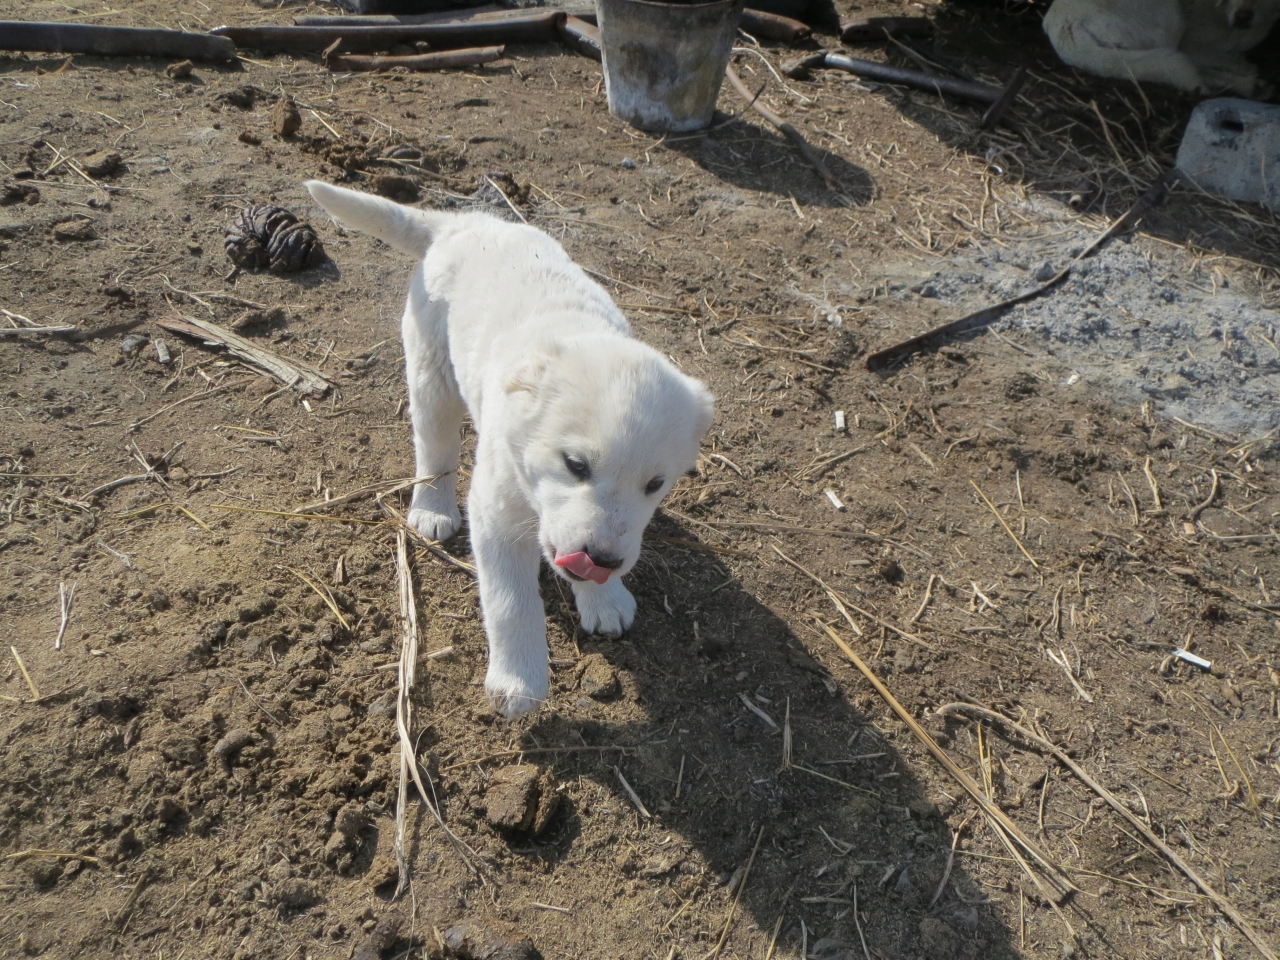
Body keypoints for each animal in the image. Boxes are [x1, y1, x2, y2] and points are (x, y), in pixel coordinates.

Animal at [305, 181, 714, 718]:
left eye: (655, 484)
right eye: (575, 465)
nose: (603, 561)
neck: (576, 334)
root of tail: (466, 223)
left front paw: (603, 599)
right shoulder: (495, 512)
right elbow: (510, 602)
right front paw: (518, 679)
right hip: (432, 371)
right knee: (434, 447)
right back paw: (432, 507)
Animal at [1043, 0, 1278, 97]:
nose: (1242, 17)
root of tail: (1064, 25)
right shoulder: (1194, 44)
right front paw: (1243, 67)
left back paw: (1251, 86)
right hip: (1171, 19)